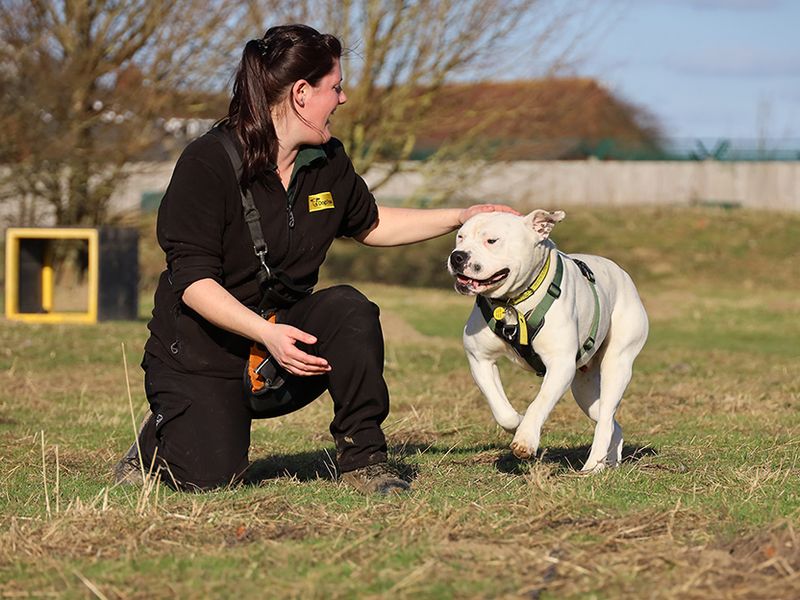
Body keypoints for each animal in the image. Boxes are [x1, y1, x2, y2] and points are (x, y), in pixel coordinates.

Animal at [446, 209, 648, 472]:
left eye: (491, 241)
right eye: (460, 237)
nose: (457, 256)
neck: (513, 302)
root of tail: (622, 273)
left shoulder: (560, 365)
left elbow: (539, 402)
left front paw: (525, 440)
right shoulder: (479, 359)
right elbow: (501, 409)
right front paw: (517, 422)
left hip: (617, 365)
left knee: (605, 418)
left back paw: (593, 466)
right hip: (582, 388)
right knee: (611, 420)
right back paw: (609, 461)